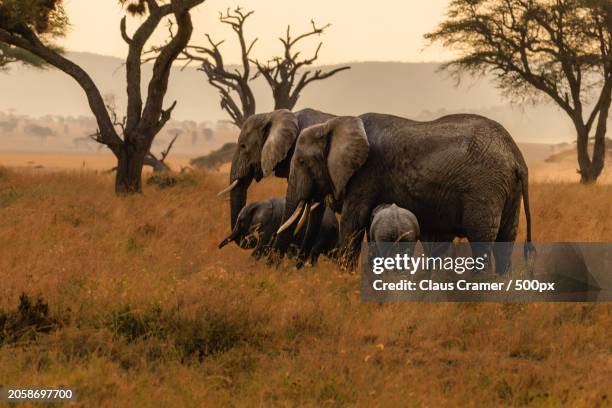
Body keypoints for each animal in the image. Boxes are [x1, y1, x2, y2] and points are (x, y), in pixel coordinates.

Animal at [272, 113, 532, 272]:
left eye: (302, 161)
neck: (334, 123)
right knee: (505, 241)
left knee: (482, 240)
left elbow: (352, 222)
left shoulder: (366, 174)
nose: (296, 269)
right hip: (507, 190)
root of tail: (516, 156)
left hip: (484, 188)